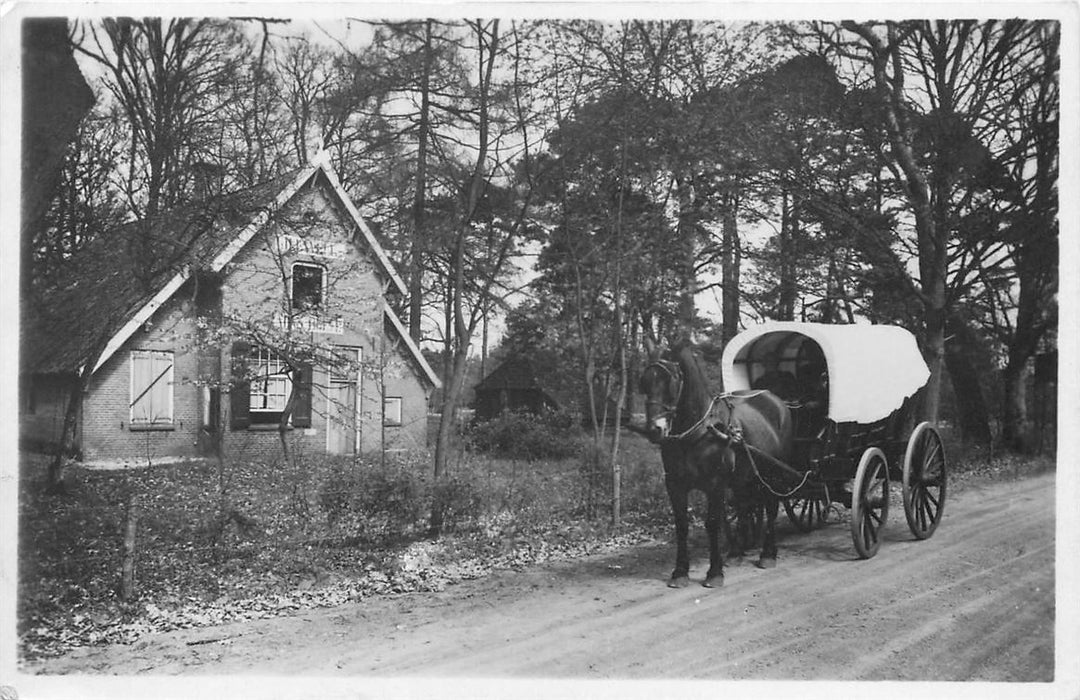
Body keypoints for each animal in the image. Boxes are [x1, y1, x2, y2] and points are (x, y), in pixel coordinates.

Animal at [635, 339, 799, 591]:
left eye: (670, 381)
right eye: (644, 381)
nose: (654, 429)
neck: (700, 432)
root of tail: (777, 401)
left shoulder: (715, 484)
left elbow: (712, 523)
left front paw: (714, 572)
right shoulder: (674, 484)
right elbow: (682, 525)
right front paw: (680, 572)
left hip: (773, 474)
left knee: (771, 507)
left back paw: (768, 554)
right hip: (744, 478)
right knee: (744, 506)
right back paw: (737, 552)